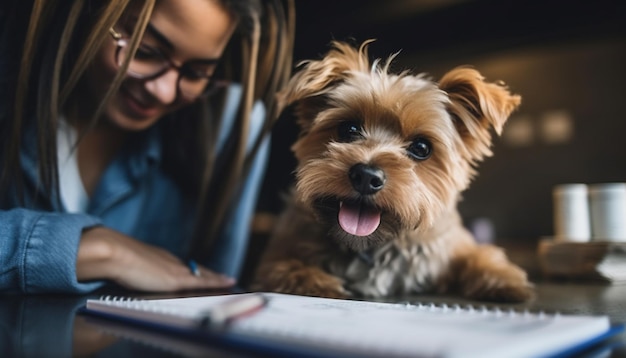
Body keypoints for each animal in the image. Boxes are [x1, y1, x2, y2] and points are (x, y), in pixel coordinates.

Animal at [252, 39, 532, 302]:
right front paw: (317, 282)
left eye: (421, 147)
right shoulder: (278, 253)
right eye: (348, 129)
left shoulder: (451, 246)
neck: (370, 246)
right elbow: (285, 266)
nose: (366, 176)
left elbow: (480, 254)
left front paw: (504, 278)